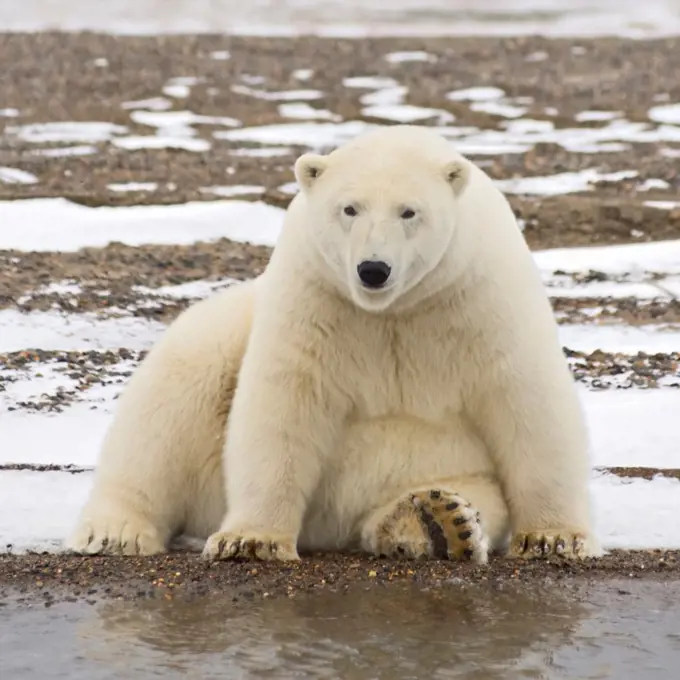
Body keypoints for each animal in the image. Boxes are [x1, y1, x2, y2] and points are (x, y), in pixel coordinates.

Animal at [66, 126, 600, 564]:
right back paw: (116, 531)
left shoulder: (480, 298)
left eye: (410, 211)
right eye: (350, 208)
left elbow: (527, 401)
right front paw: (251, 540)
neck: (394, 310)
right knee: (171, 400)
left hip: (447, 472)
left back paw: (438, 522)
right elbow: (284, 400)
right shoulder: (317, 298)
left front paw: (553, 538)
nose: (373, 269)